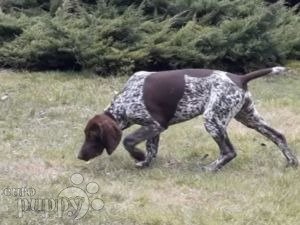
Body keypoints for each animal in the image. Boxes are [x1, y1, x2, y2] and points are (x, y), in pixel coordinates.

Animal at [77, 67, 298, 171]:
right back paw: (292, 162)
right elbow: (151, 149)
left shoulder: (155, 124)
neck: (124, 101)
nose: (79, 156)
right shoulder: (154, 128)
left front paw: (138, 156)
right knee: (279, 136)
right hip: (249, 118)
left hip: (213, 119)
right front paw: (145, 162)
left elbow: (128, 140)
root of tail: (239, 78)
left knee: (229, 151)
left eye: (92, 135)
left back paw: (211, 168)